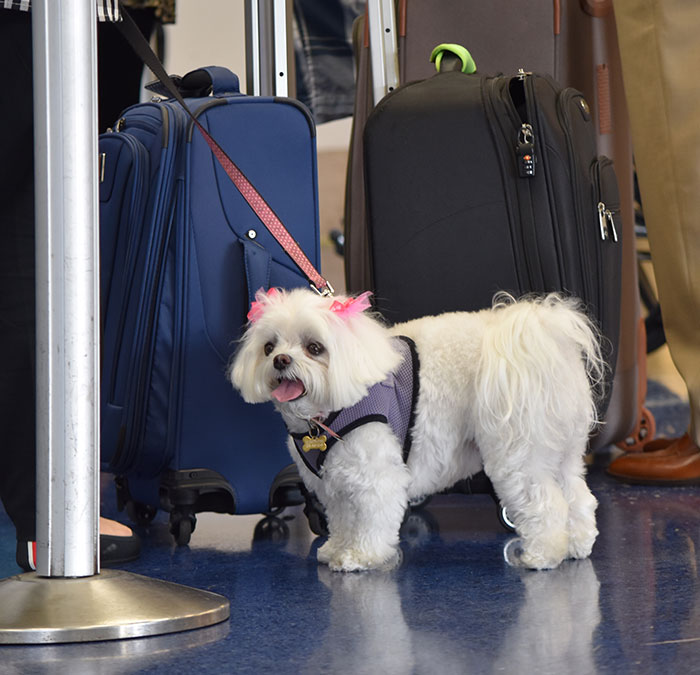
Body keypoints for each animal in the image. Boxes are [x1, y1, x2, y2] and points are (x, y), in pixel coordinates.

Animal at [228, 288, 600, 572]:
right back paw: (577, 546)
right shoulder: (336, 483)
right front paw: (337, 549)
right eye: (269, 347)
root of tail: (543, 338)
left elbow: (372, 520)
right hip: (564, 452)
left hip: (518, 455)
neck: (326, 414)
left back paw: (542, 556)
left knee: (546, 504)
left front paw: (361, 556)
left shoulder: (376, 476)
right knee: (578, 497)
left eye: (314, 347)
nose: (280, 361)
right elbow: (344, 519)